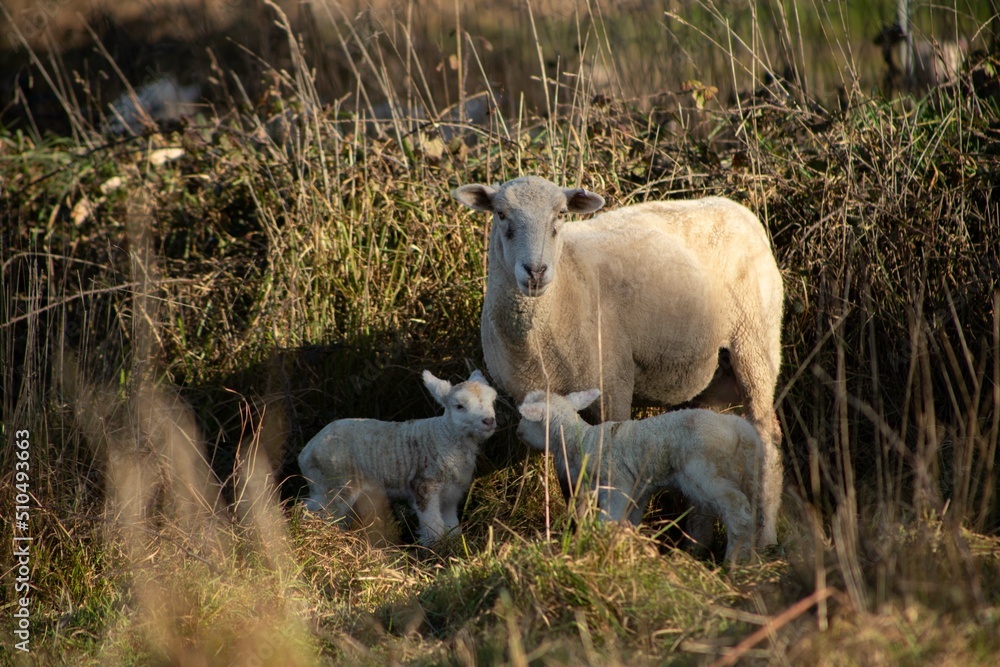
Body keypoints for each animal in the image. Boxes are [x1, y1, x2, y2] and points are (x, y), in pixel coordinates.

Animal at [298, 370, 497, 546]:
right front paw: (437, 550)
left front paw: (454, 547)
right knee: (322, 515)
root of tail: (306, 451)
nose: (489, 421)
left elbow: (451, 527)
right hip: (336, 484)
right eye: (459, 406)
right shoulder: (424, 487)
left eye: (492, 402)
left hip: (322, 486)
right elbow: (434, 527)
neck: (444, 436)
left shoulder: (451, 495)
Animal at [517, 388, 765, 561]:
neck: (581, 440)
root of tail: (738, 428)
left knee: (736, 507)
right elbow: (629, 519)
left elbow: (609, 519)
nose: (519, 432)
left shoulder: (617, 485)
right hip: (745, 472)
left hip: (706, 471)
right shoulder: (638, 491)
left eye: (528, 419)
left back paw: (735, 560)